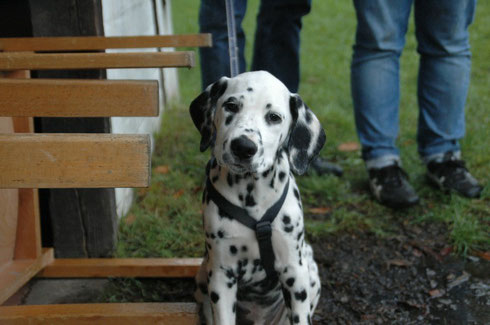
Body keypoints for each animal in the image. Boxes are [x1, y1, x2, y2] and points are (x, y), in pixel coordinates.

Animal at [191, 71, 326, 324]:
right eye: (231, 105)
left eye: (274, 117)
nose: (243, 147)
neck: (252, 194)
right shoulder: (222, 275)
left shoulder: (295, 273)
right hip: (204, 276)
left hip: (310, 270)